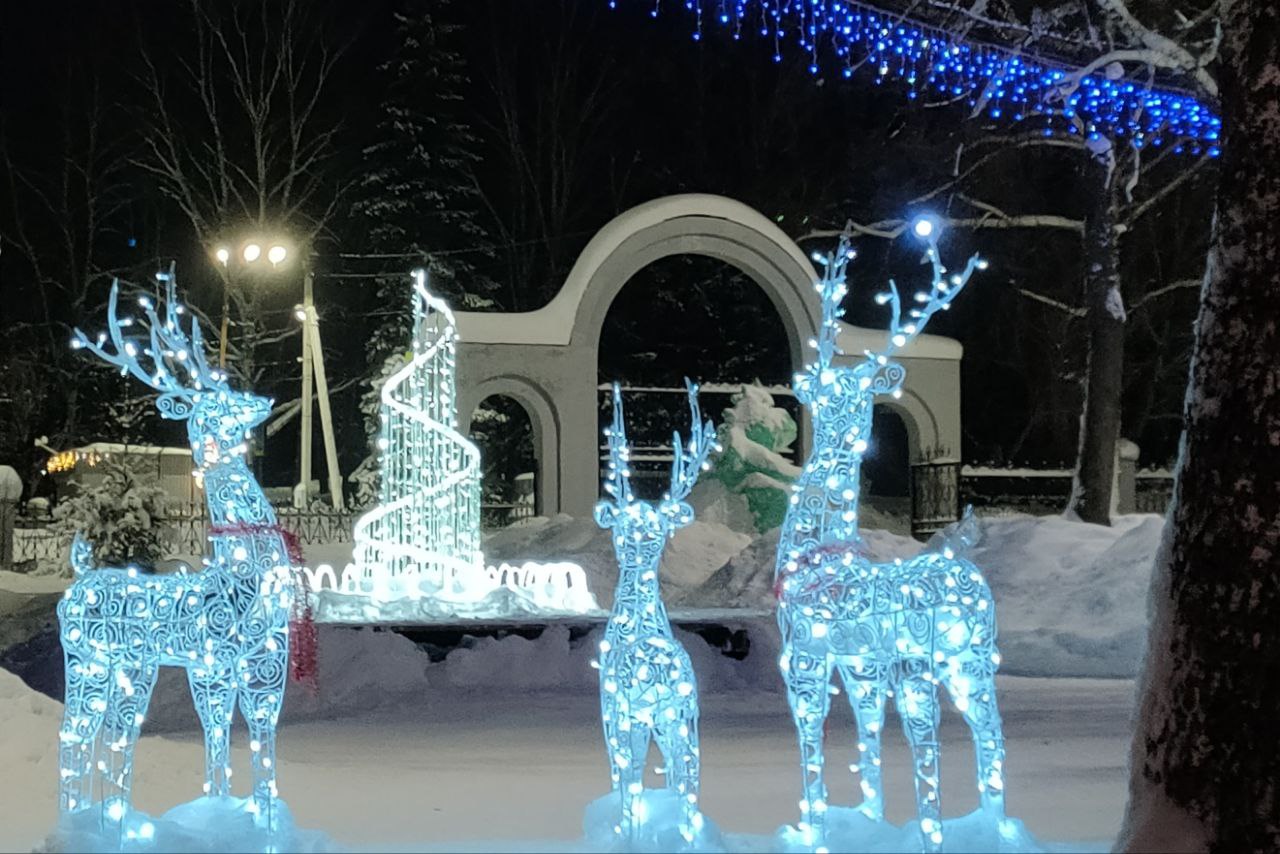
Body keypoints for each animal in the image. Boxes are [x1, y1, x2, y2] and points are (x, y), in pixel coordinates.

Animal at [58, 273, 293, 834]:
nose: (263, 397)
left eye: (229, 390)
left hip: (103, 665)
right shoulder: (227, 659)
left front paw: (243, 820)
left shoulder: (250, 659)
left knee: (87, 737)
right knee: (97, 739)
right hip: (104, 659)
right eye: (219, 404)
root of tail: (78, 577)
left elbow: (242, 743)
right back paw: (103, 827)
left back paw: (88, 821)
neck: (238, 579)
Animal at [591, 381, 716, 850]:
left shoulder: (609, 708)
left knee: (635, 781)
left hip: (640, 713)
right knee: (688, 779)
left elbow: (620, 779)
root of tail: (662, 670)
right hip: (685, 716)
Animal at [768, 224, 998, 850]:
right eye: (826, 385)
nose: (810, 397)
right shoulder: (861, 664)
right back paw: (997, 826)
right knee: (988, 733)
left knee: (938, 739)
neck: (814, 559)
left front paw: (814, 831)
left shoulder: (806, 654)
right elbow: (866, 739)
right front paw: (867, 820)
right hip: (968, 658)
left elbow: (813, 744)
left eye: (848, 388)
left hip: (929, 659)